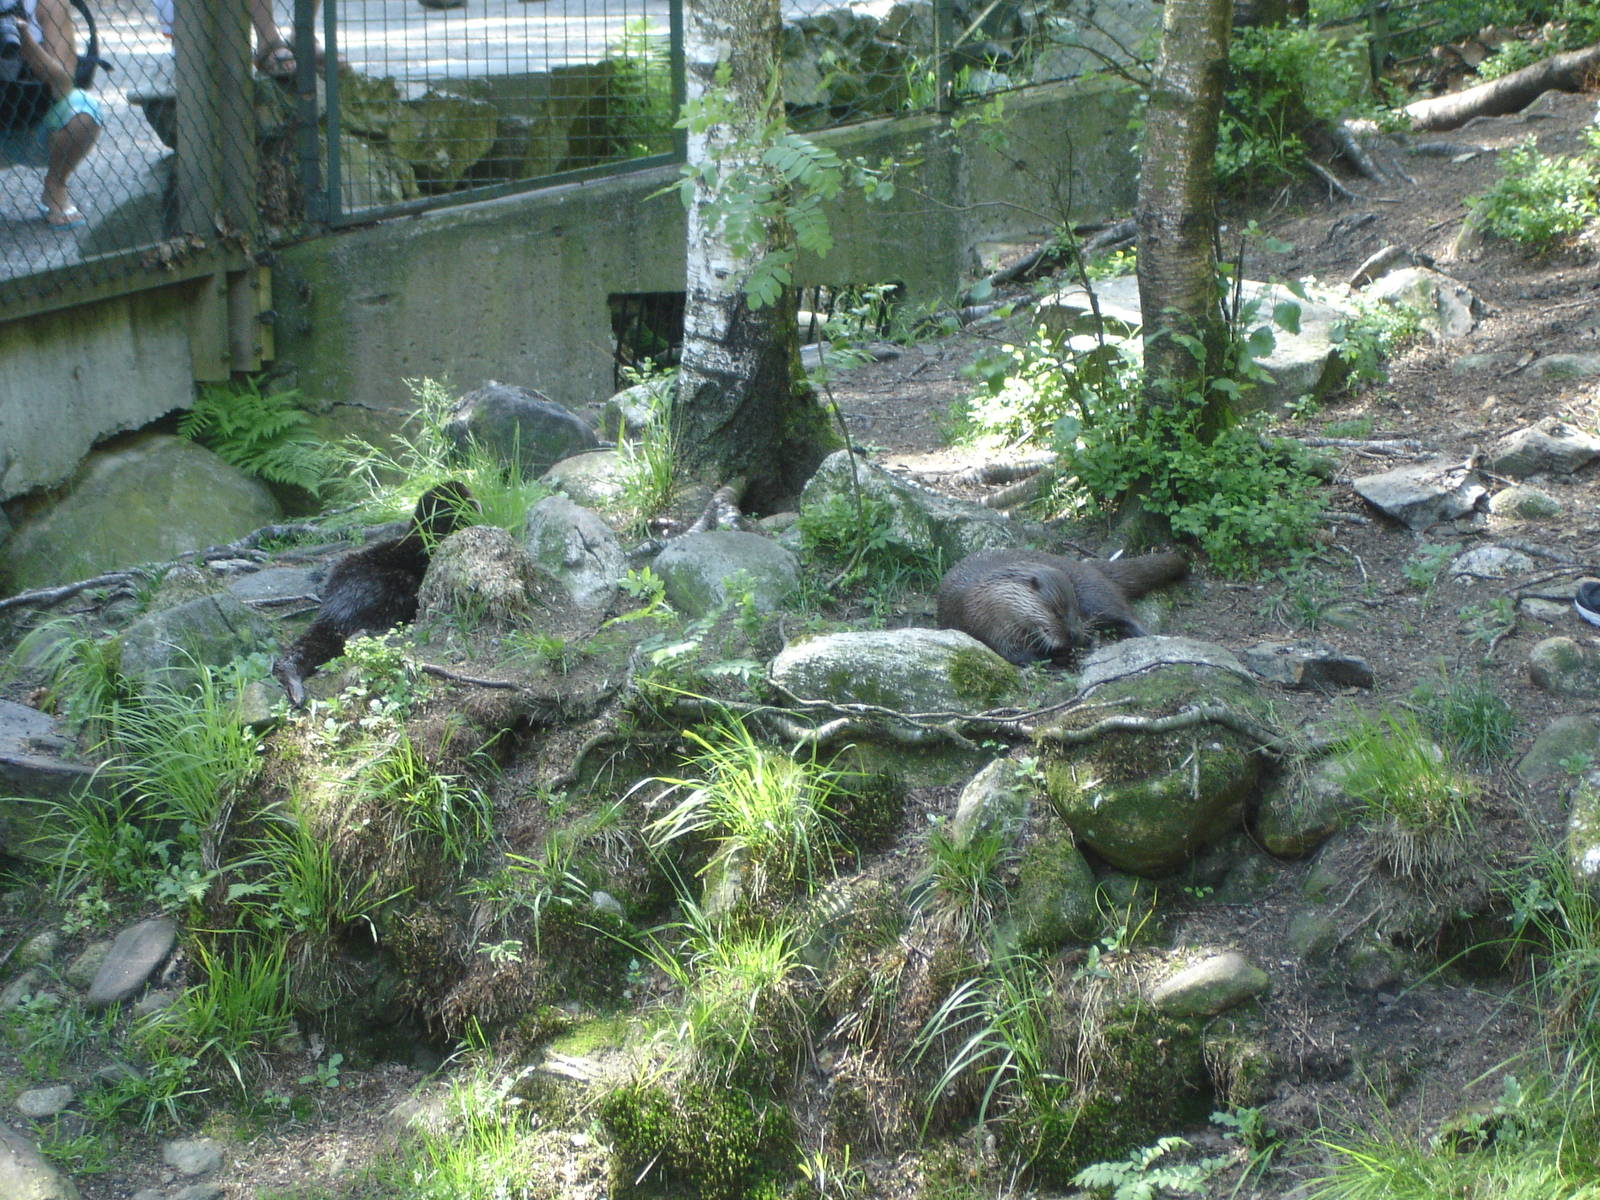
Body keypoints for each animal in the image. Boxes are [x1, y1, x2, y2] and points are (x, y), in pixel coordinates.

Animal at [936, 547, 1188, 666]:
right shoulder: (991, 628)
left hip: (1094, 592)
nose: (1074, 635)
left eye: (1074, 608)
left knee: (1124, 612)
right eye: (1056, 612)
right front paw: (1062, 657)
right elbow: (1020, 656)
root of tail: (1087, 565)